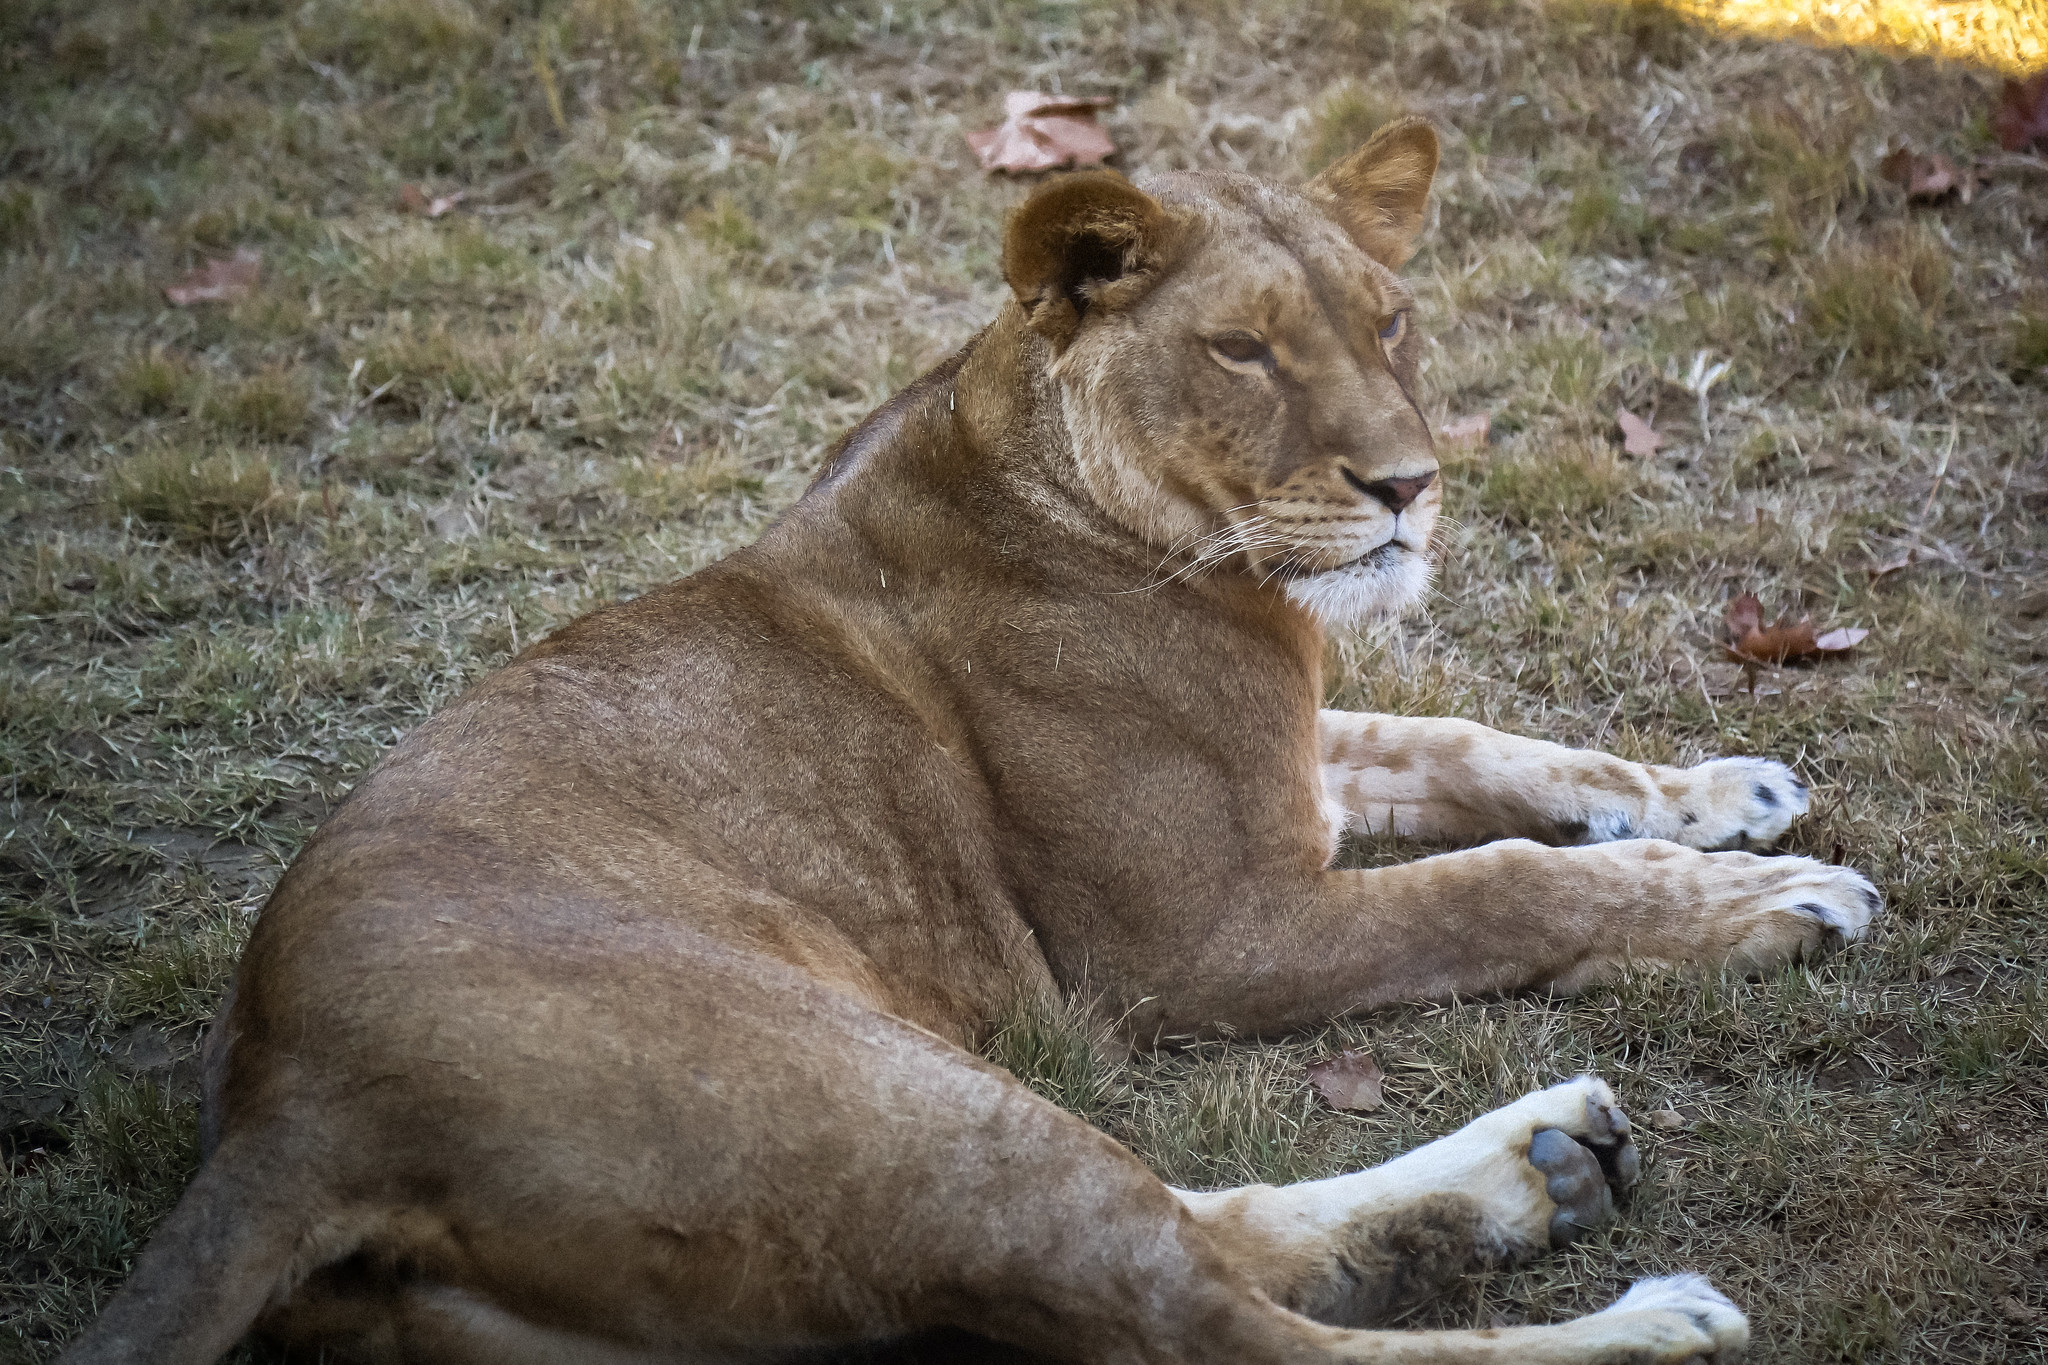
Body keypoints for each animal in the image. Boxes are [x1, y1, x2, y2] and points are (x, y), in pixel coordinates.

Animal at [64, 122, 1875, 1365]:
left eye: (1392, 322)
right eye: (1240, 348)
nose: (1409, 486)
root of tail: (283, 1102)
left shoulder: (1293, 771)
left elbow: (1479, 748)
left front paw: (1726, 792)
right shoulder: (1206, 942)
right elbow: (1500, 883)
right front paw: (1776, 899)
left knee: (1194, 1234)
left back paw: (1542, 1169)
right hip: (899, 1097)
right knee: (1197, 1323)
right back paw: (1645, 1312)